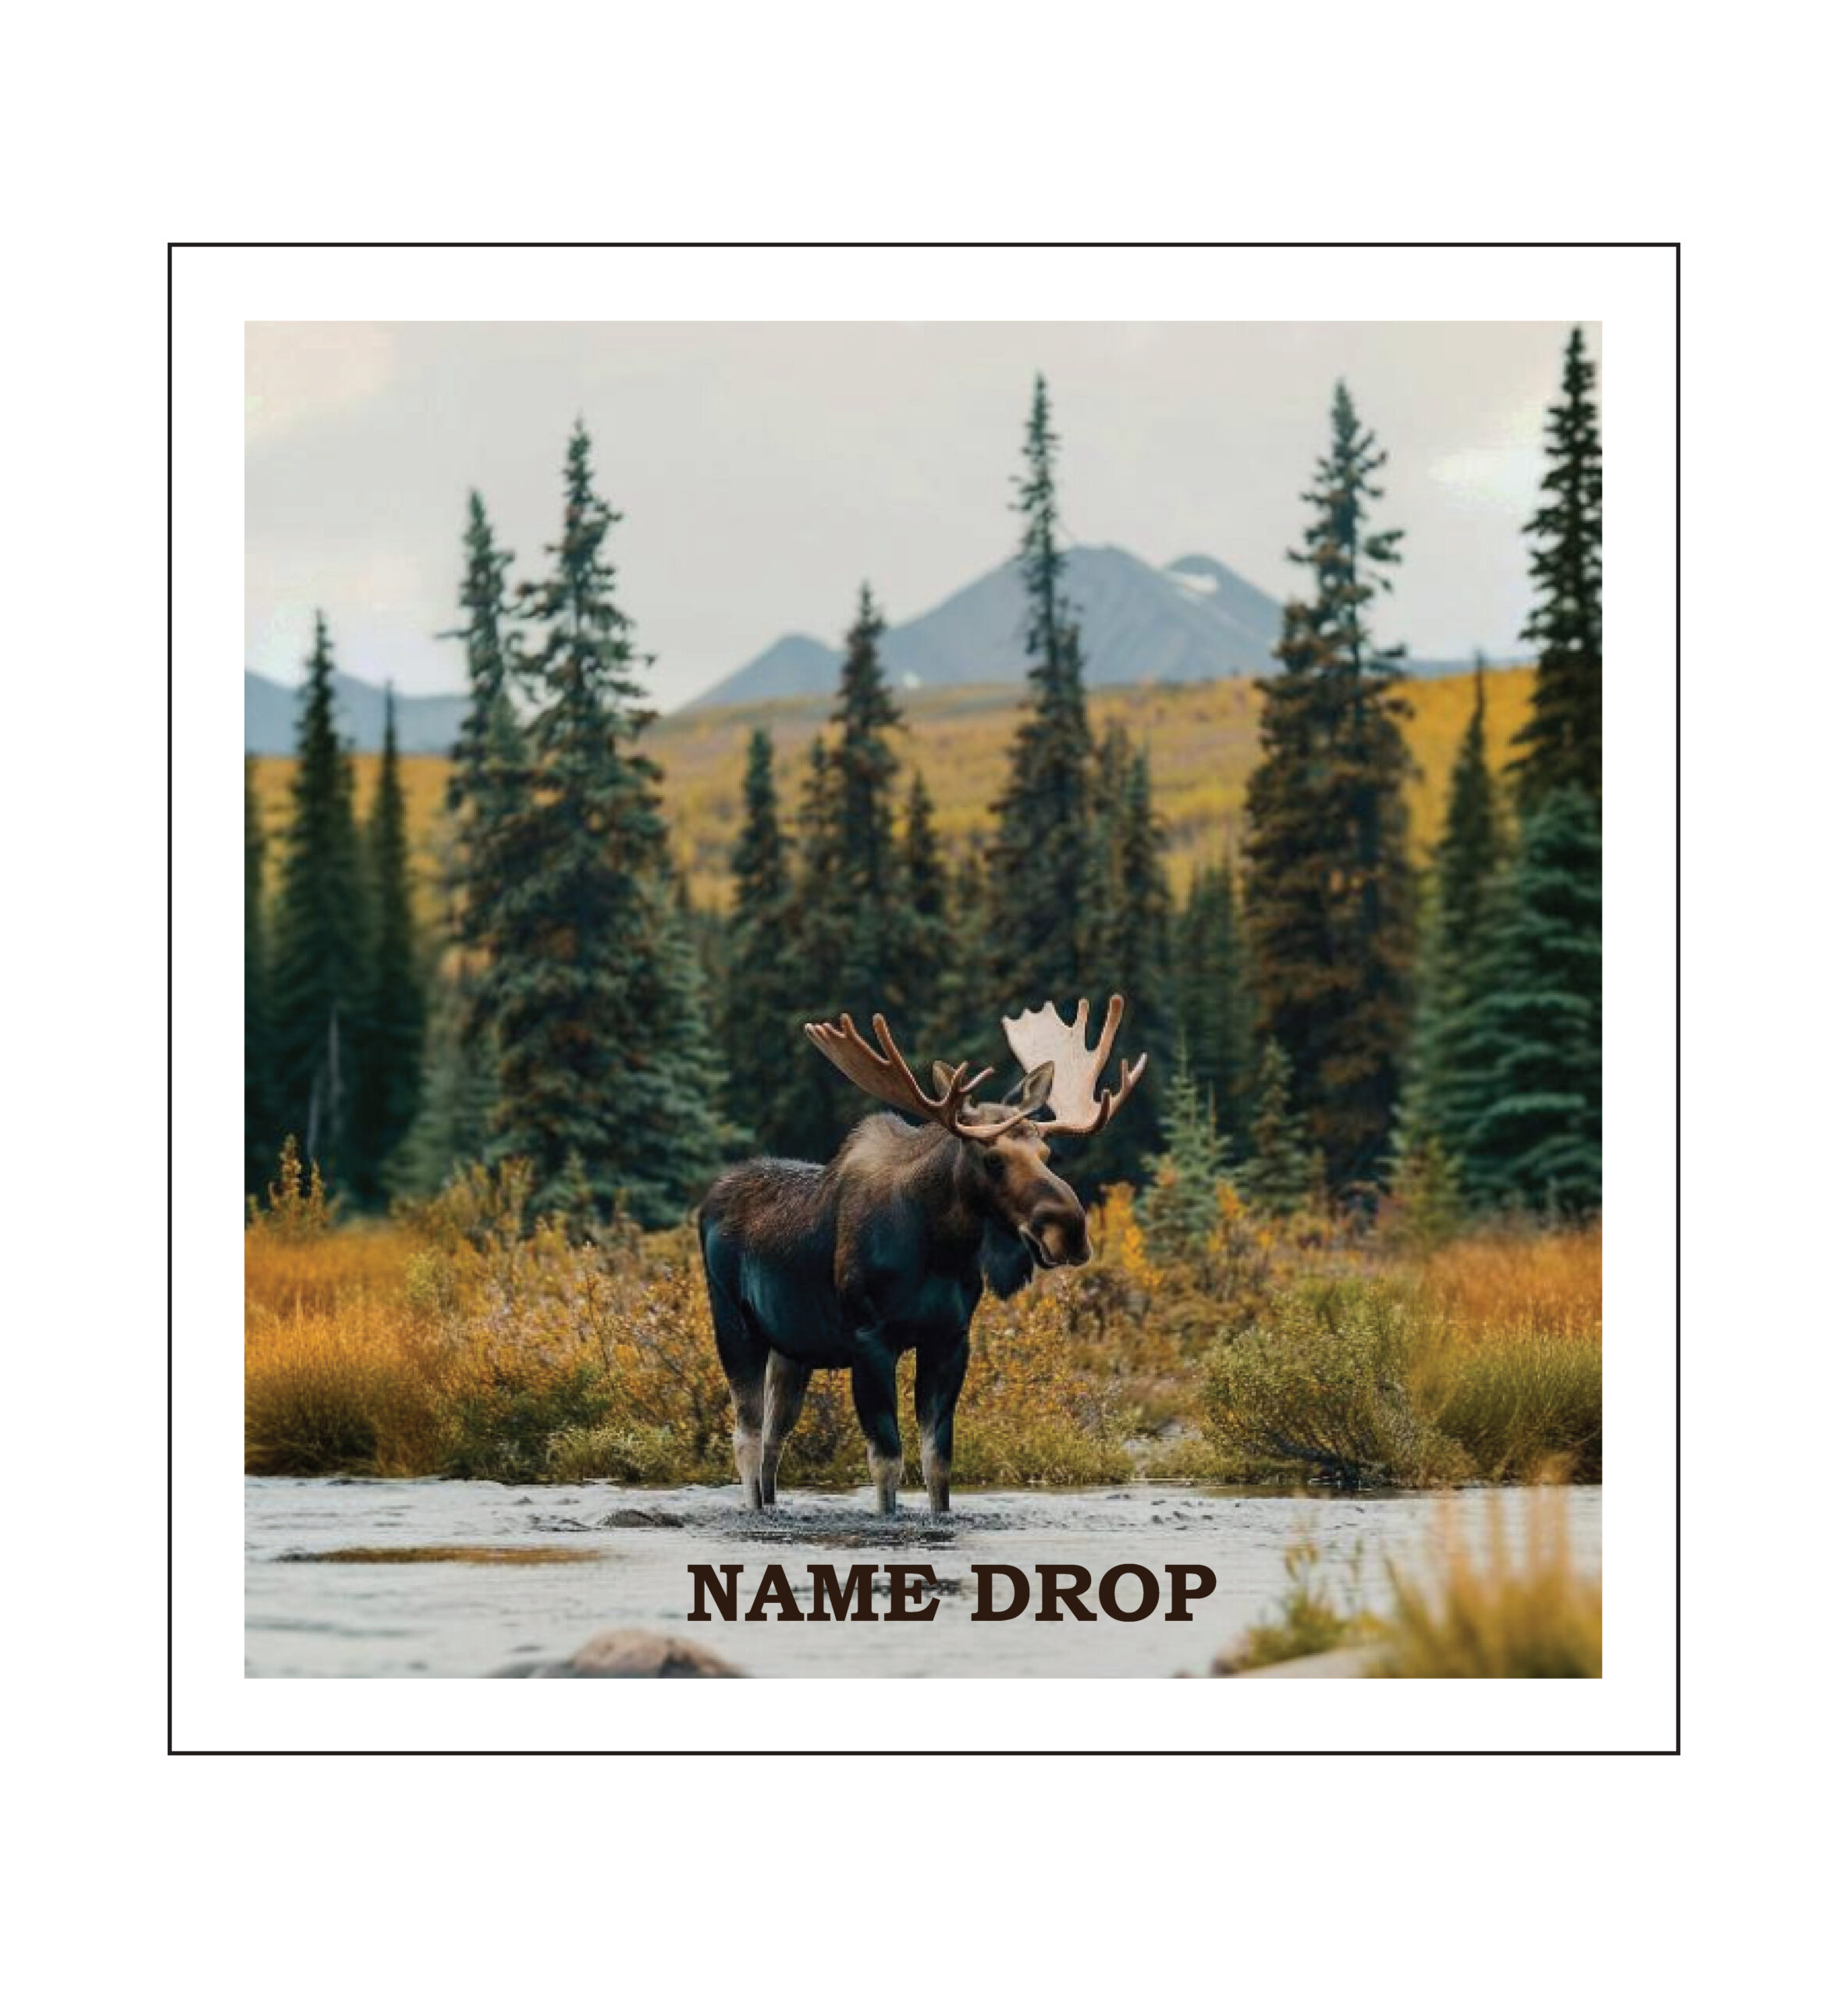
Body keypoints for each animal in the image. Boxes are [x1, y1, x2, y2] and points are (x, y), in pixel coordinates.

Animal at [698, 996, 1147, 1516]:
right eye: (992, 1158)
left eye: (1047, 1152)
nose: (1069, 1229)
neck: (941, 1250)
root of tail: (708, 1201)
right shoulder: (870, 1339)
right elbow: (887, 1460)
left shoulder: (950, 1339)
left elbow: (938, 1460)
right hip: (734, 1325)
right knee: (746, 1437)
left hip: (793, 1349)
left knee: (775, 1437)